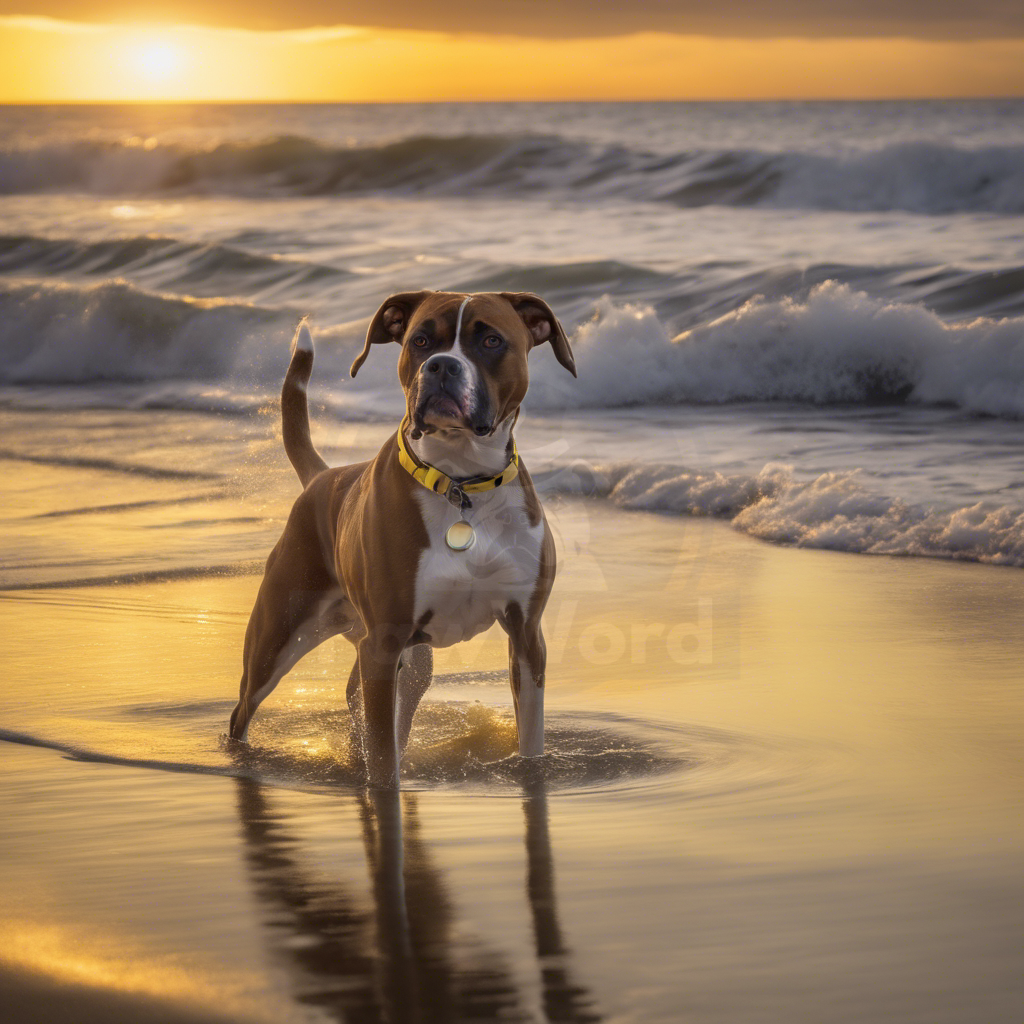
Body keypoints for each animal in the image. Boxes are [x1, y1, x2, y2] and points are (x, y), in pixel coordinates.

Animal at [228, 292, 577, 786]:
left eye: (491, 340)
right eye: (420, 340)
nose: (441, 365)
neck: (460, 484)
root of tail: (323, 477)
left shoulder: (526, 636)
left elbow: (530, 739)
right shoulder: (383, 644)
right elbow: (383, 763)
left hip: (410, 668)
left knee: (371, 705)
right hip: (277, 639)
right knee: (243, 709)